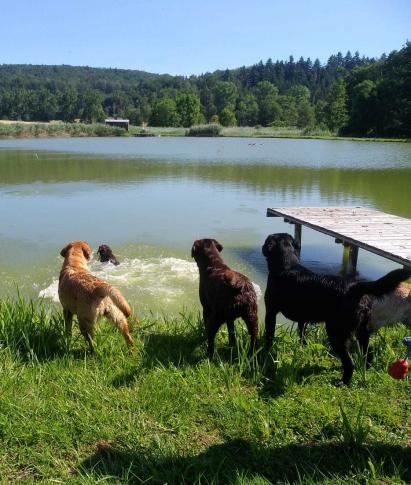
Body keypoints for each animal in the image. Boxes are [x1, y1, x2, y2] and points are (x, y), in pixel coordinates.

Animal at [262, 233, 410, 384]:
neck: (287, 266)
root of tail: (355, 287)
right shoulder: (302, 318)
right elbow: (302, 333)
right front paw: (303, 346)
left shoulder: (270, 312)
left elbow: (269, 334)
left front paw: (265, 352)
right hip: (362, 330)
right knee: (368, 353)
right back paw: (365, 369)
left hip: (336, 332)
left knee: (349, 362)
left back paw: (343, 382)